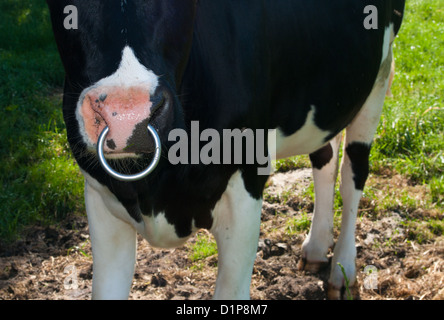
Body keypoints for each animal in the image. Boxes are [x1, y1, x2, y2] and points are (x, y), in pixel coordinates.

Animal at [46, 0, 406, 300]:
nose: (126, 116)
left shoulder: (244, 192)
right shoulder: (100, 196)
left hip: (380, 71)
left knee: (352, 174)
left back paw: (343, 270)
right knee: (325, 158)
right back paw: (317, 247)